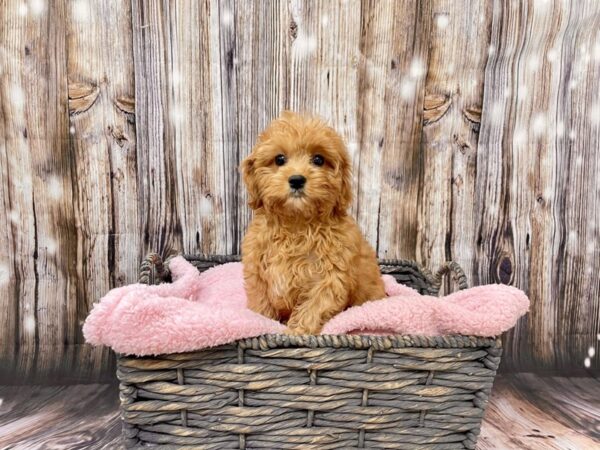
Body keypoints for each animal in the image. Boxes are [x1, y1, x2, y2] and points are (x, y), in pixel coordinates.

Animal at [239, 111, 384, 334]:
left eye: (318, 159)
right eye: (279, 159)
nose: (297, 179)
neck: (296, 223)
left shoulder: (330, 278)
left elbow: (312, 308)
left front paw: (294, 333)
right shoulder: (257, 272)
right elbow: (261, 304)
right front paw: (262, 323)